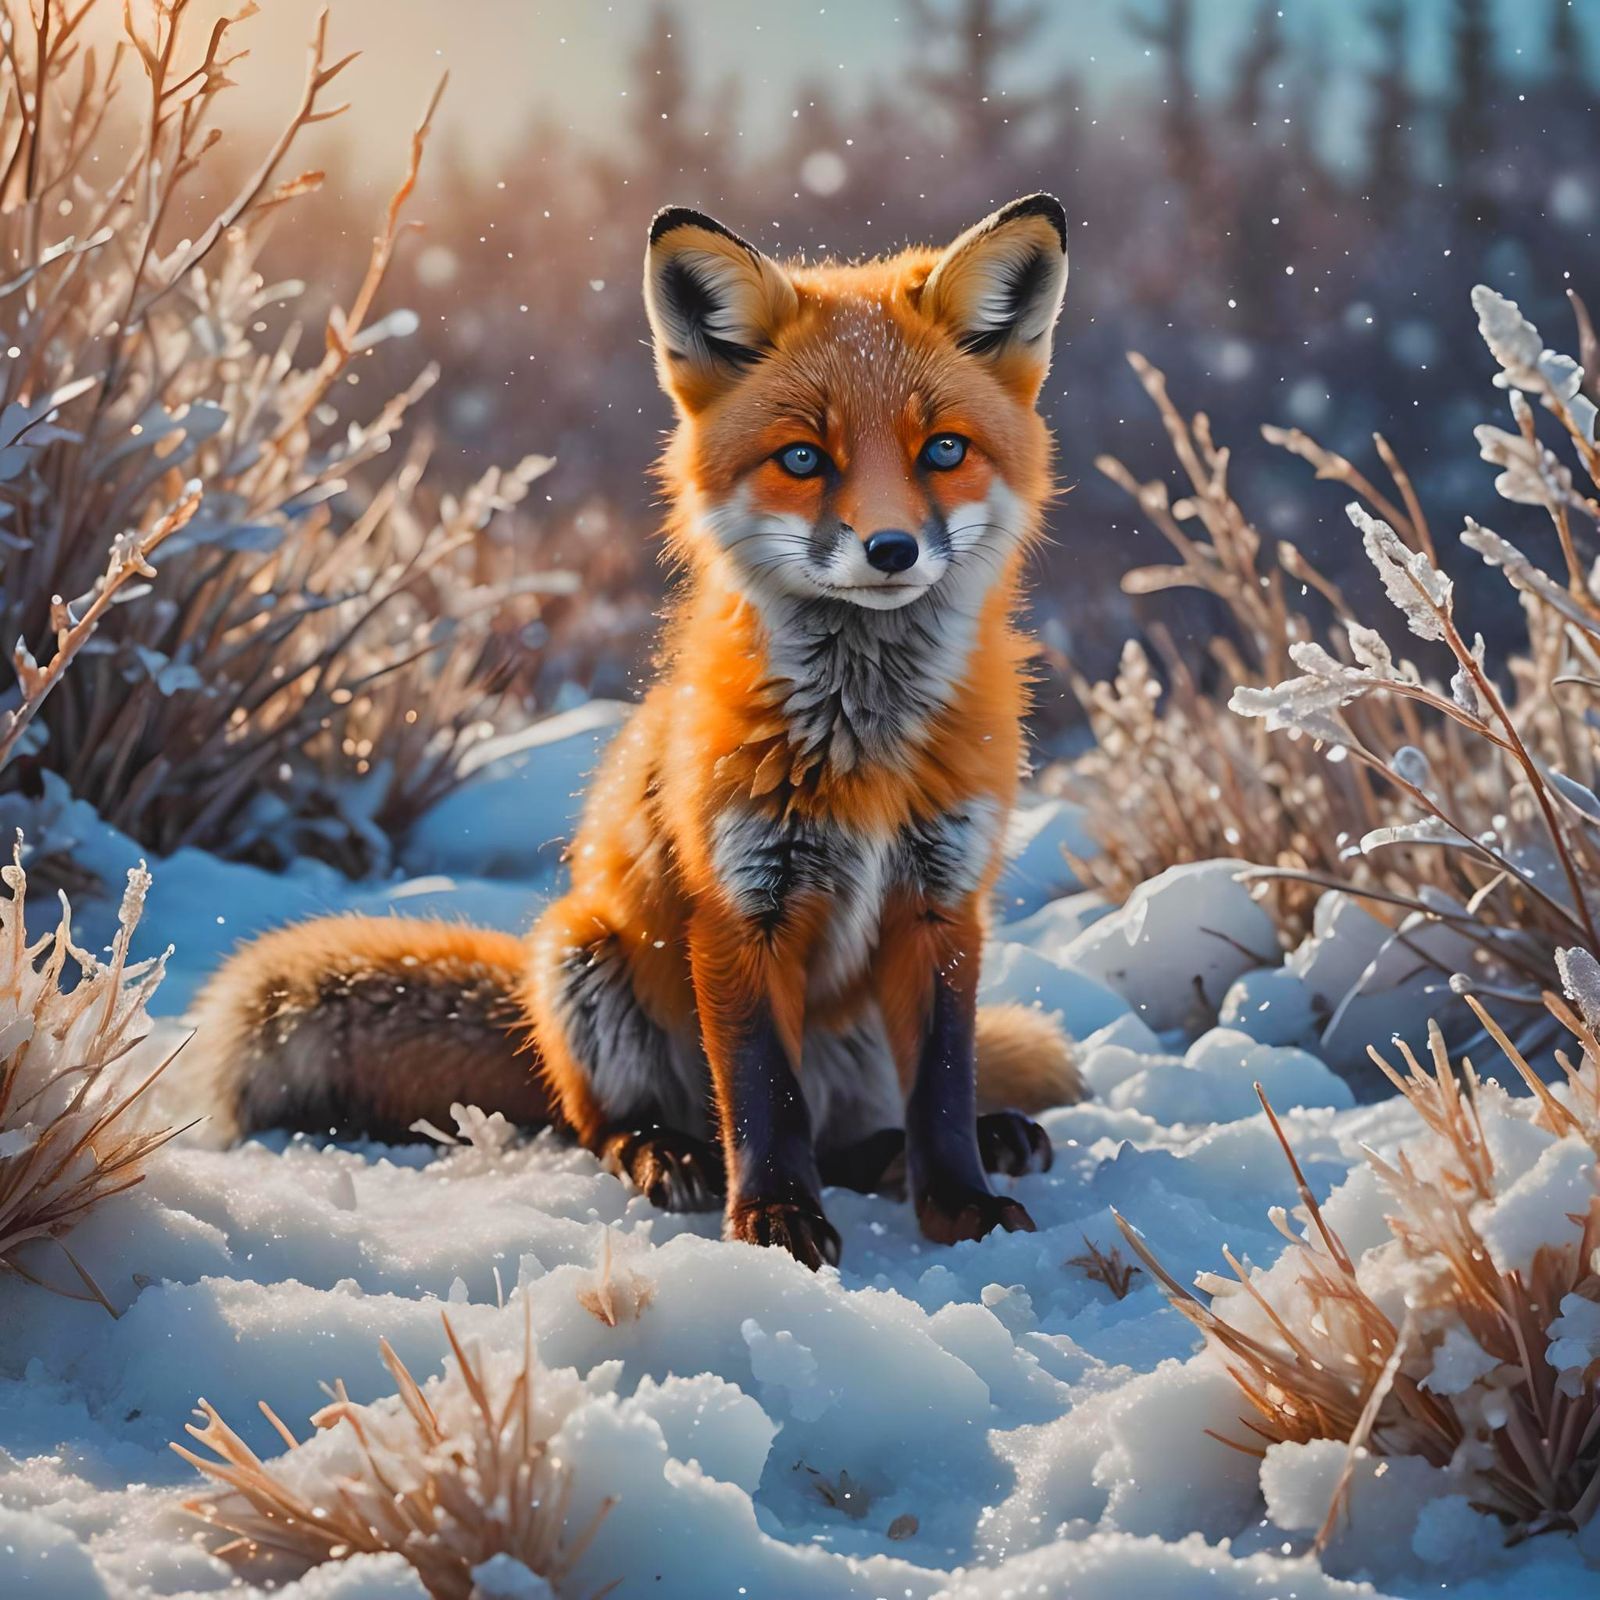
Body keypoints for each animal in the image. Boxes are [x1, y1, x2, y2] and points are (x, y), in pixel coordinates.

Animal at [192, 194, 1085, 1268]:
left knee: (863, 1129)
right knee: (614, 1124)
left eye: (943, 450)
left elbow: (944, 1091)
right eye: (802, 458)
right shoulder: (739, 906)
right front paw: (774, 1220)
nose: (891, 549)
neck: (864, 744)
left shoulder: (944, 905)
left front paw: (960, 1206)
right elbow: (765, 1098)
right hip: (583, 953)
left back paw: (937, 1145)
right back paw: (670, 1154)